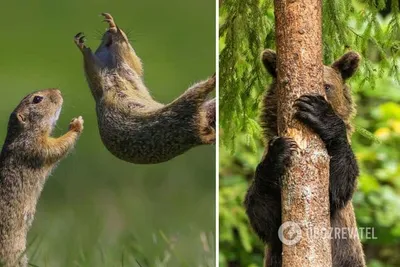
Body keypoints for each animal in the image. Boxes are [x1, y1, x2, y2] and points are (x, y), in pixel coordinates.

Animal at [0, 90, 83, 267]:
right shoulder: (35, 147)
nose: (59, 91)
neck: (21, 133)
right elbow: (58, 146)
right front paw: (76, 125)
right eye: (37, 99)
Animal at [73, 13, 214, 165]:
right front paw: (82, 45)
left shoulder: (128, 66)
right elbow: (92, 70)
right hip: (184, 106)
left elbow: (134, 61)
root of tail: (196, 134)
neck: (113, 68)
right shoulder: (99, 78)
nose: (112, 31)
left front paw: (111, 23)